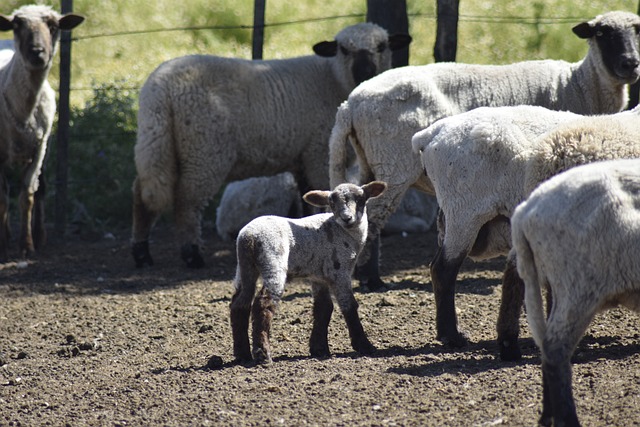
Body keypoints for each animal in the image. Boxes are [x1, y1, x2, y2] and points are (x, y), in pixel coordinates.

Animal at [0, 5, 84, 262]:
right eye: (17, 25)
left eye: (53, 26)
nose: (37, 53)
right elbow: (2, 198)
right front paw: (5, 243)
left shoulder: (39, 149)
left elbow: (27, 195)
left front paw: (27, 245)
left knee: (42, 188)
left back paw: (39, 235)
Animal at [132, 23, 412, 270]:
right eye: (343, 49)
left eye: (382, 46)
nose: (366, 72)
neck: (332, 77)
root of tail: (159, 90)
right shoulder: (317, 154)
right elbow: (320, 201)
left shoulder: (302, 159)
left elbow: (307, 199)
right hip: (203, 152)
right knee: (186, 202)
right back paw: (192, 255)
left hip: (158, 143)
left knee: (144, 195)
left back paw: (143, 254)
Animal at [231, 181, 388, 364]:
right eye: (331, 202)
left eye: (360, 199)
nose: (346, 217)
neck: (342, 231)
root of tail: (249, 236)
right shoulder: (339, 271)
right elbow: (349, 305)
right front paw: (364, 345)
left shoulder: (318, 276)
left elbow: (324, 308)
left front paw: (319, 349)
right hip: (273, 259)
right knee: (263, 303)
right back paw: (263, 354)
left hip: (244, 265)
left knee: (239, 304)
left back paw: (242, 354)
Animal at [328, 10, 640, 292]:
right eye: (602, 33)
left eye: (637, 30)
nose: (631, 64)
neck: (580, 83)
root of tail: (349, 103)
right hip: (395, 166)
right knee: (375, 215)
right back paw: (372, 279)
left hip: (370, 163)